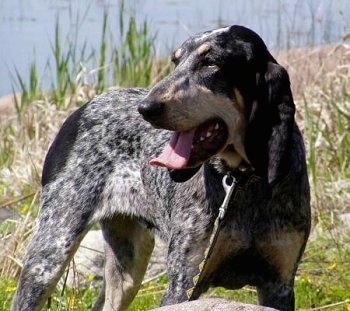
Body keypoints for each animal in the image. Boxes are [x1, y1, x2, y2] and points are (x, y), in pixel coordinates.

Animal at [12, 25, 310, 311]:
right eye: (175, 61)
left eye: (211, 62)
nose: (146, 108)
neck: (241, 180)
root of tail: (83, 108)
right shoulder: (184, 282)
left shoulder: (279, 284)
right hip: (50, 252)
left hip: (128, 266)